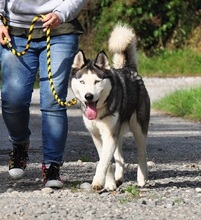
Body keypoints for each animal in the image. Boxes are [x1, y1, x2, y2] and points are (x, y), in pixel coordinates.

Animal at [70, 23, 150, 190]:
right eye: (82, 82)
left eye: (97, 81)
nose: (88, 96)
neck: (99, 112)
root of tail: (129, 69)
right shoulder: (97, 135)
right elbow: (105, 159)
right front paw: (110, 182)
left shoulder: (109, 134)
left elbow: (104, 161)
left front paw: (98, 182)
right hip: (118, 130)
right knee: (120, 156)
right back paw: (119, 178)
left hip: (138, 126)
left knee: (142, 152)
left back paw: (142, 178)